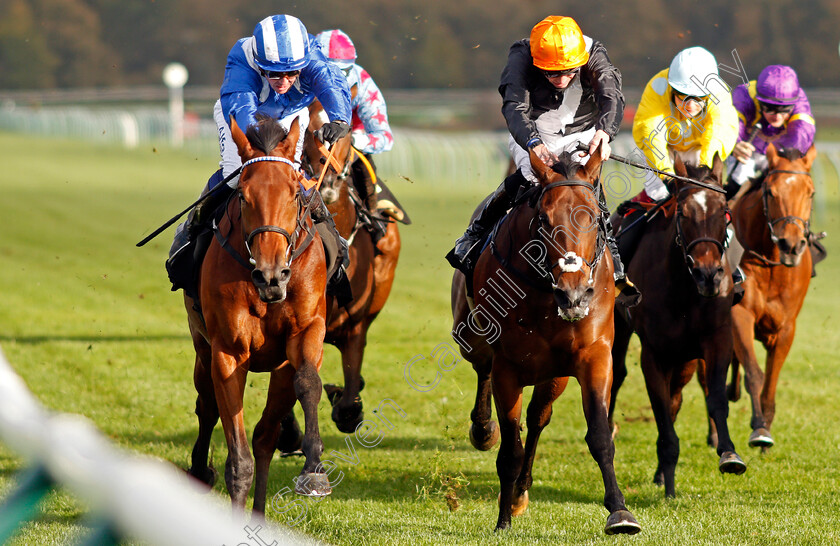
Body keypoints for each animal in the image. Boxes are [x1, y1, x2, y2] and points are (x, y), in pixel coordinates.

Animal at [184, 115, 332, 510]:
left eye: (295, 193)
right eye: (244, 196)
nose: (271, 274)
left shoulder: (306, 331)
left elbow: (309, 382)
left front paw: (314, 470)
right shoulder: (227, 353)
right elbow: (239, 461)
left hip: (279, 369)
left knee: (266, 435)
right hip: (201, 347)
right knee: (207, 407)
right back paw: (199, 471)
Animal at [300, 95, 402, 432]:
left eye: (341, 136)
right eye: (305, 131)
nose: (327, 182)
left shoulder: (355, 328)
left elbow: (347, 408)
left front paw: (345, 398)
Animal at [456, 147, 640, 532]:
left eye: (596, 216)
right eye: (542, 218)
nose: (574, 294)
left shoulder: (594, 356)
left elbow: (599, 435)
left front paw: (619, 511)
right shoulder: (508, 368)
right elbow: (509, 449)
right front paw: (503, 521)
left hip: (554, 375)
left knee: (539, 416)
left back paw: (521, 490)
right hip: (472, 341)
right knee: (482, 371)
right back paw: (483, 431)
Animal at [612, 153, 740, 498]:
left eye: (723, 211)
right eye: (683, 212)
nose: (708, 275)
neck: (684, 289)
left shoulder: (717, 340)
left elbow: (715, 397)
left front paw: (729, 454)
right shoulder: (654, 354)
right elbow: (662, 415)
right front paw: (668, 484)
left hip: (684, 358)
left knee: (676, 397)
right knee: (616, 375)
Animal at [728, 142, 812, 448]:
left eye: (810, 192)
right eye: (771, 192)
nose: (791, 245)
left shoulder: (786, 328)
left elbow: (771, 381)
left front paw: (766, 422)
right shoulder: (739, 314)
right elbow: (754, 373)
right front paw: (760, 429)